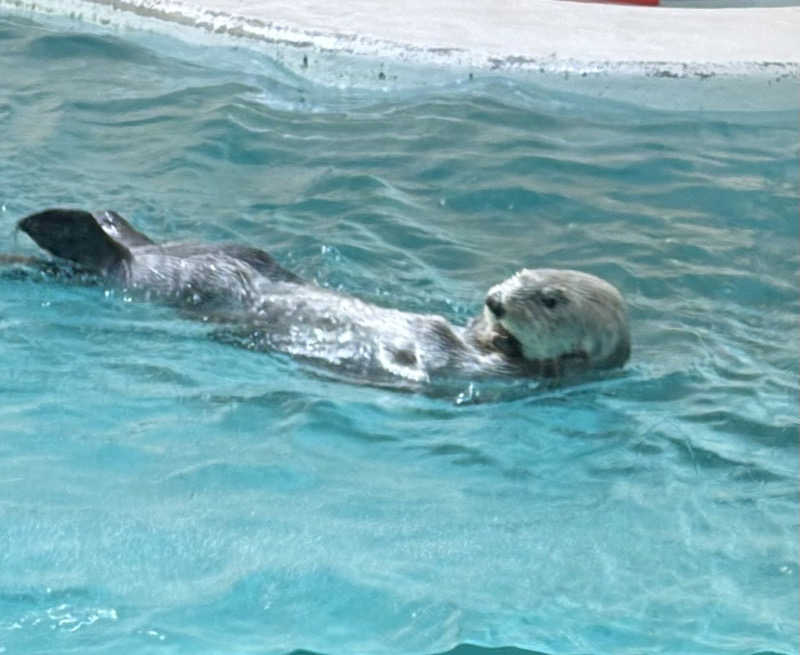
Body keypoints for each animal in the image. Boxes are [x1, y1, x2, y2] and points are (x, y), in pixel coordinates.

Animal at [9, 209, 628, 390]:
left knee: (113, 262)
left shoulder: (485, 371)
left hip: (165, 277)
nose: (495, 299)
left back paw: (57, 231)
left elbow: (430, 347)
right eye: (518, 273)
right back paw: (110, 221)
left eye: (550, 300)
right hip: (239, 251)